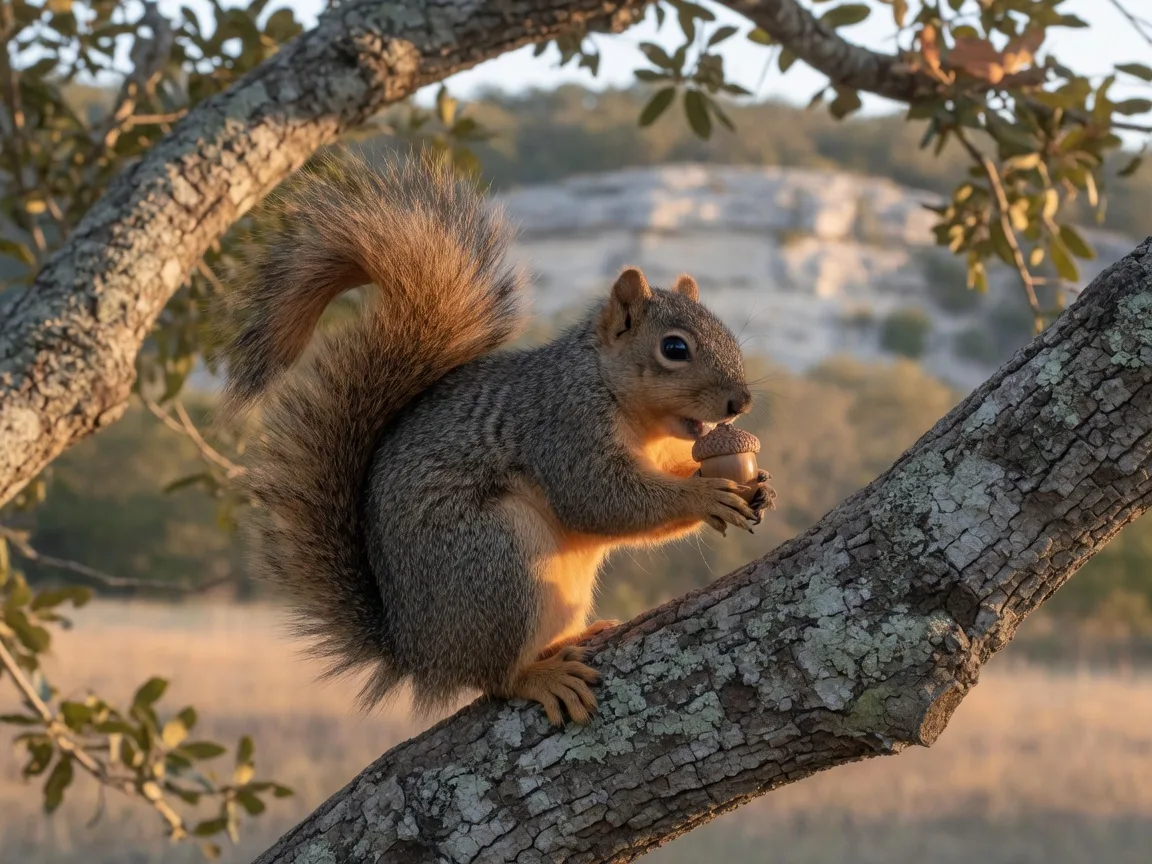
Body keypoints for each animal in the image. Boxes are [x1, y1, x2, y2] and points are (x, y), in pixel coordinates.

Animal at [218, 152, 775, 727]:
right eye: (674, 348)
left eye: (728, 333)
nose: (740, 402)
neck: (625, 403)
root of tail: (415, 651)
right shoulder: (563, 428)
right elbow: (600, 500)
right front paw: (705, 495)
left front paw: (753, 485)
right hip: (497, 562)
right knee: (494, 678)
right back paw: (538, 676)